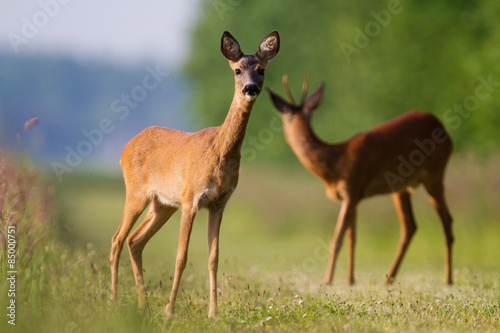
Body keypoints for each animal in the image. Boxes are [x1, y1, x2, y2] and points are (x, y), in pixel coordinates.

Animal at [110, 31, 280, 320]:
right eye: (237, 70)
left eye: (261, 70)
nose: (250, 88)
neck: (220, 152)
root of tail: (126, 147)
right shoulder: (191, 199)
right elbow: (181, 256)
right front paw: (169, 311)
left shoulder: (219, 202)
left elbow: (214, 258)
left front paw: (214, 313)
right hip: (136, 192)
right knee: (117, 239)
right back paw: (111, 301)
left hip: (163, 204)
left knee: (135, 240)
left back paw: (143, 306)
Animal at [268, 75, 456, 286]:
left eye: (283, 118)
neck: (335, 161)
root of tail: (444, 130)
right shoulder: (354, 198)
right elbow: (352, 238)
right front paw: (350, 280)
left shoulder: (351, 191)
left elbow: (337, 239)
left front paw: (328, 281)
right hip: (402, 188)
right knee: (410, 226)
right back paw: (388, 280)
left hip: (435, 174)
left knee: (446, 221)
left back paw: (448, 280)